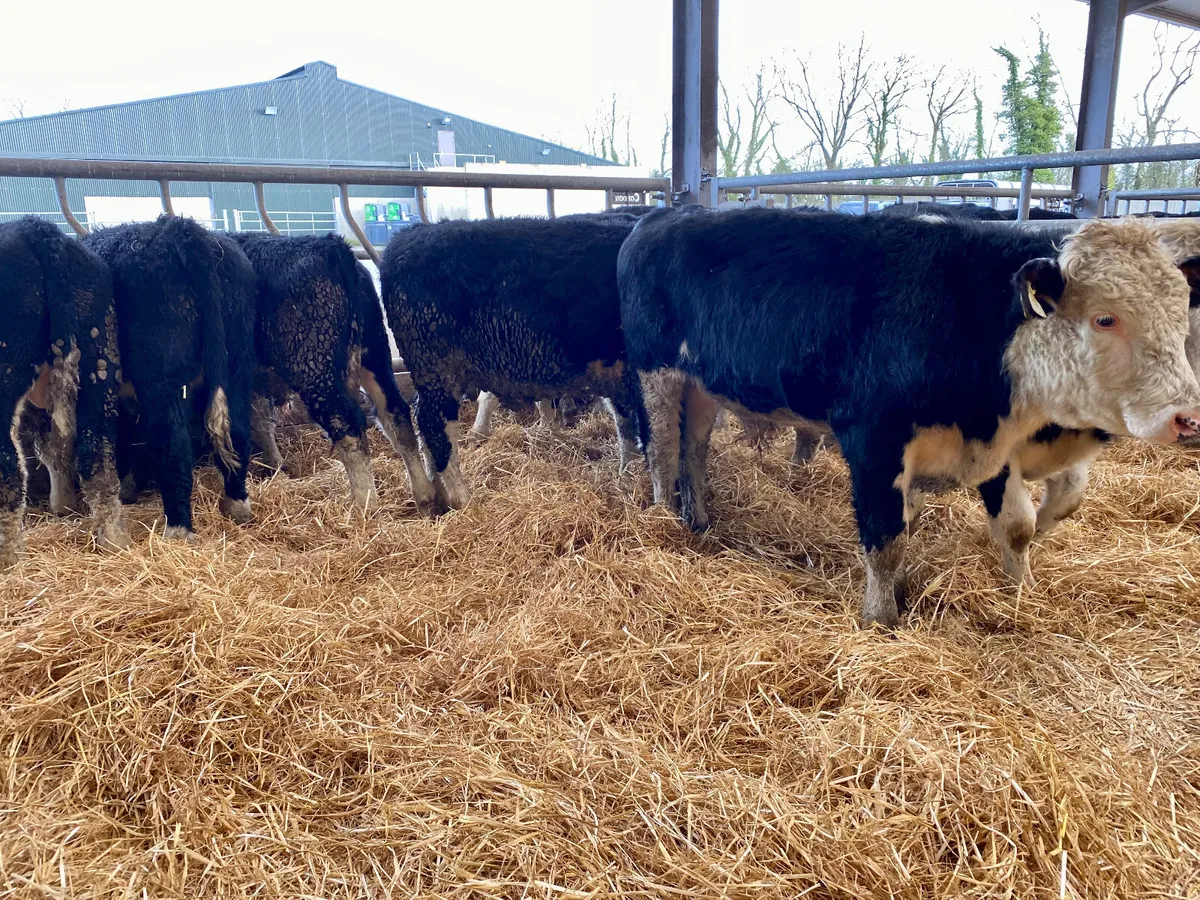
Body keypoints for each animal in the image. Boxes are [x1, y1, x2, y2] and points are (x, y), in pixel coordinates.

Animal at [0, 217, 129, 567]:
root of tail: (33, 227)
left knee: (8, 468)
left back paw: (10, 558)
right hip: (99, 357)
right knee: (96, 452)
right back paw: (114, 540)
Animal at [83, 215, 255, 541]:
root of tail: (181, 228)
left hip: (160, 381)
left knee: (172, 445)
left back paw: (177, 528)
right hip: (236, 365)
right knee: (238, 431)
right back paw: (237, 505)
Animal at [230, 233, 436, 515]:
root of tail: (333, 248)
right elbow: (260, 419)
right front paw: (275, 466)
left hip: (317, 371)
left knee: (348, 429)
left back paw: (365, 507)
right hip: (374, 353)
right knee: (396, 414)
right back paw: (425, 498)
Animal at [381, 215, 644, 511]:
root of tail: (407, 237)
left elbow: (626, 426)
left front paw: (628, 478)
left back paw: (438, 496)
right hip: (436, 362)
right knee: (433, 423)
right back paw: (461, 499)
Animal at [618, 207, 1200, 627]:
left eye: (1181, 315)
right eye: (1105, 319)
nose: (1188, 417)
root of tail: (665, 216)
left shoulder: (991, 443)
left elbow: (1017, 525)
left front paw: (1022, 594)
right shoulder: (874, 439)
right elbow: (887, 538)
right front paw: (881, 619)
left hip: (702, 385)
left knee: (694, 448)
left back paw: (698, 520)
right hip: (656, 369)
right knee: (663, 449)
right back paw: (663, 521)